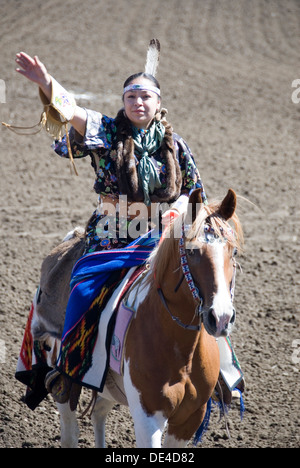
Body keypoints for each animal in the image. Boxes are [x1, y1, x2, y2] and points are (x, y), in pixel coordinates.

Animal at [53, 188, 241, 448]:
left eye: (233, 251)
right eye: (192, 251)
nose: (221, 317)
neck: (181, 349)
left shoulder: (190, 418)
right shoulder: (148, 417)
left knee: (99, 412)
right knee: (70, 428)